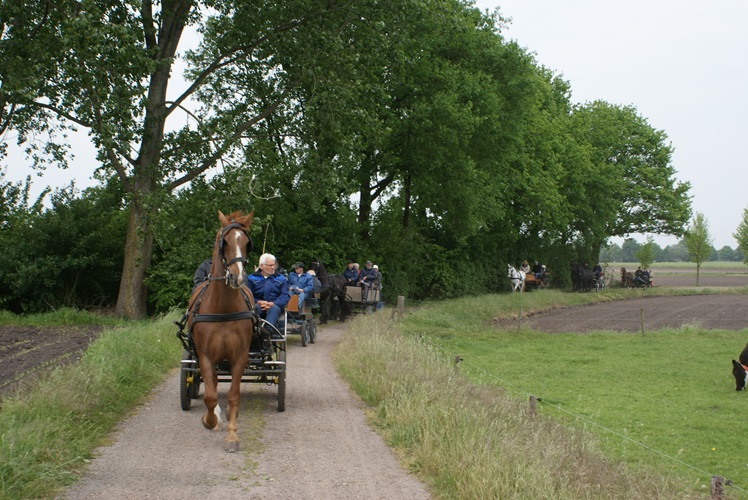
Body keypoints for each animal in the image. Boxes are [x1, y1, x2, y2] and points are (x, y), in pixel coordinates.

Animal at [188, 211, 256, 454]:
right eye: (224, 242)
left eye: (246, 243)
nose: (238, 277)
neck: (223, 307)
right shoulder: (205, 355)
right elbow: (209, 396)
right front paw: (210, 420)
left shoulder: (240, 356)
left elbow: (234, 396)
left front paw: (232, 435)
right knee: (214, 384)